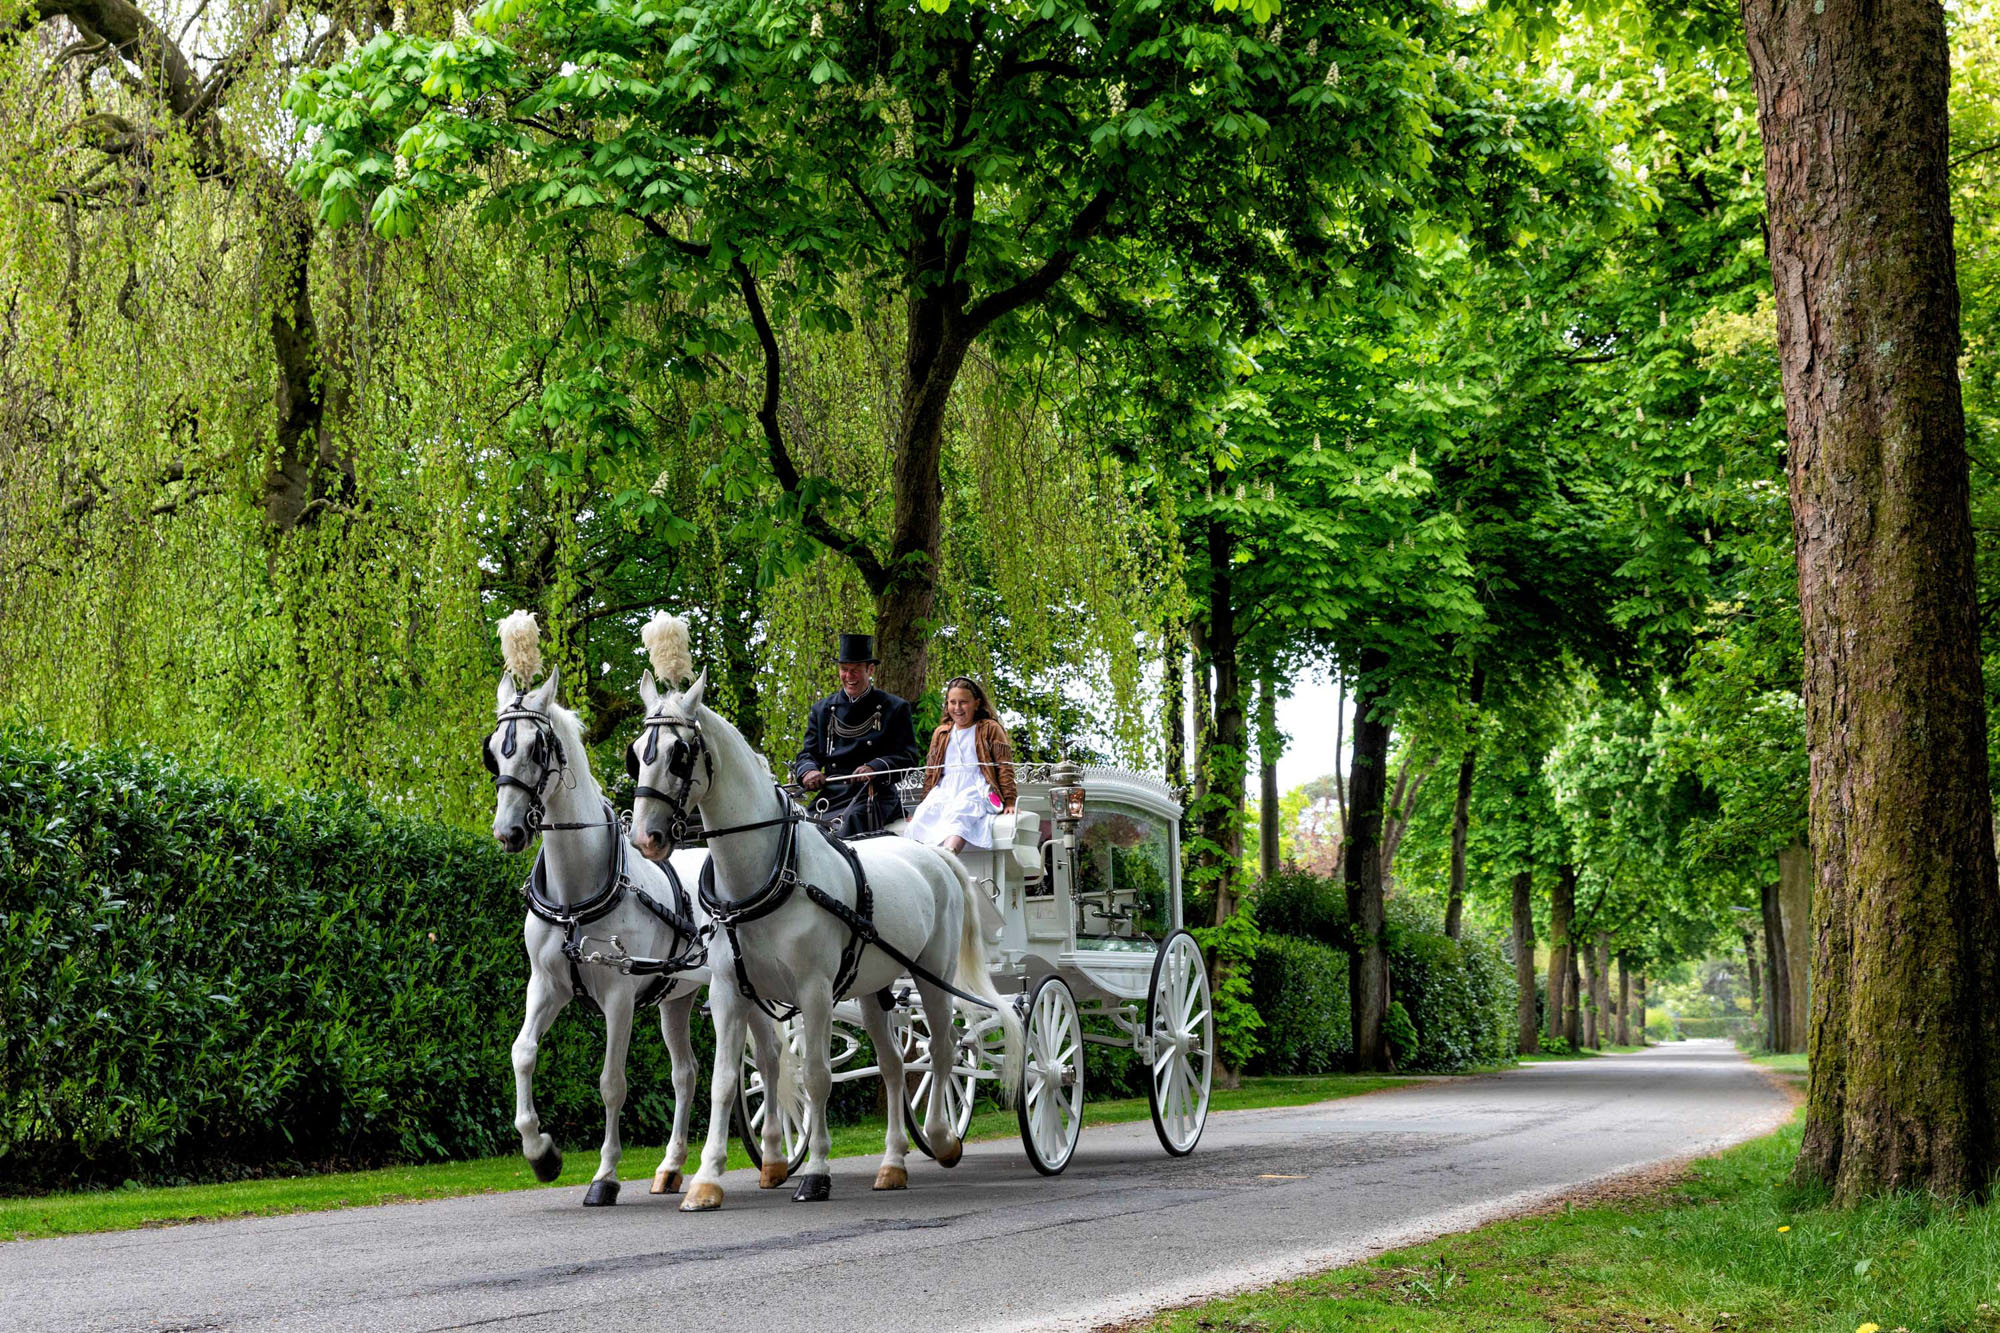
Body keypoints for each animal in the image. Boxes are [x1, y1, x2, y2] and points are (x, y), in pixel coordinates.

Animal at [488, 608, 792, 1200]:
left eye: (537, 748)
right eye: (494, 751)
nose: (508, 831)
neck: (576, 896)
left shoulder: (620, 997)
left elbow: (611, 1083)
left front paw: (604, 1176)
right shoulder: (547, 984)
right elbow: (522, 1053)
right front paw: (541, 1153)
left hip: (751, 990)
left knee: (768, 1060)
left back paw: (771, 1157)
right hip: (678, 999)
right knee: (686, 1074)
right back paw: (671, 1167)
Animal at [632, 664, 1024, 1200]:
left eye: (680, 752)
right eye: (636, 753)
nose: (645, 838)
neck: (772, 874)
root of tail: (932, 853)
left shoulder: (814, 990)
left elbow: (817, 1077)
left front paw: (816, 1172)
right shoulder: (731, 990)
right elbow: (725, 1080)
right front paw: (706, 1180)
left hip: (932, 977)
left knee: (943, 1051)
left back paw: (943, 1139)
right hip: (876, 987)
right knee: (895, 1066)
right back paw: (892, 1163)